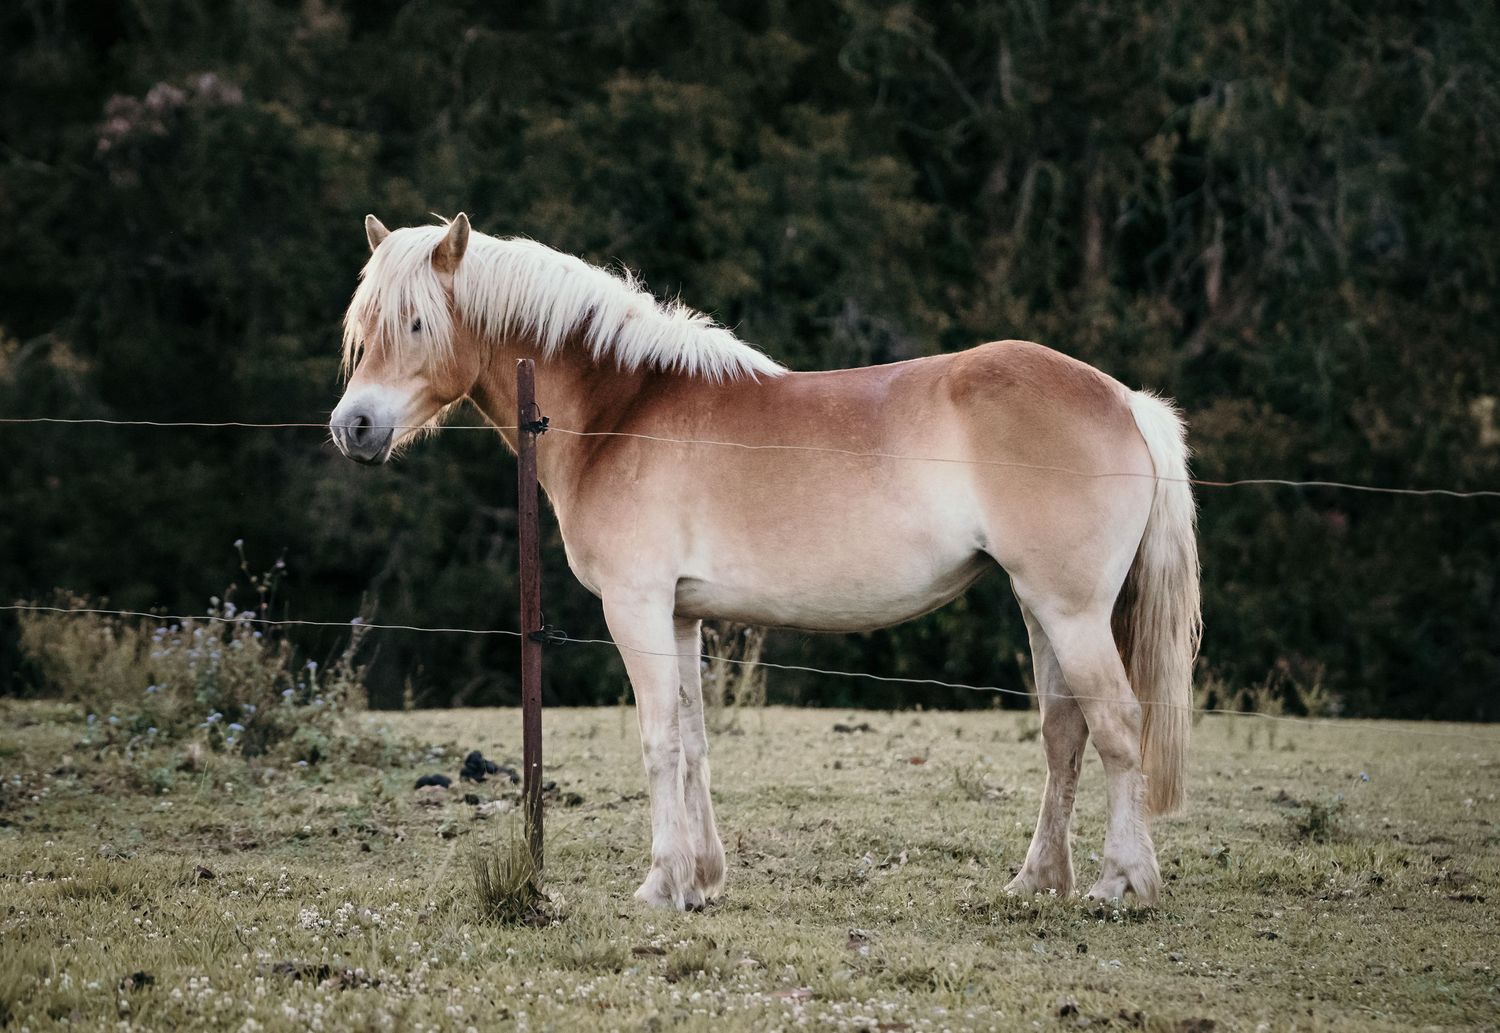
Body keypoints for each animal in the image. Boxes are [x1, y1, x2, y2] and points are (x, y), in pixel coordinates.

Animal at [330, 213, 1202, 910]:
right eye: (366, 325)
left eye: (416, 322)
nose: (354, 427)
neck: (623, 409)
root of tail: (1126, 400)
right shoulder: (681, 613)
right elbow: (693, 739)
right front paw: (702, 878)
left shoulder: (637, 605)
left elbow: (658, 741)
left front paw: (660, 882)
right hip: (1039, 607)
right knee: (1064, 731)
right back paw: (1036, 879)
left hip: (1071, 610)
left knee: (1118, 725)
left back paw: (1121, 881)